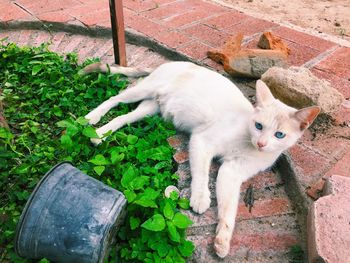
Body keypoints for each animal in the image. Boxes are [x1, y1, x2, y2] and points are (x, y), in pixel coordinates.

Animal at [82, 62, 320, 260]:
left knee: (123, 117)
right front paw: (200, 198)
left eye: (279, 135)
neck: (247, 143)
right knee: (115, 99)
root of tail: (171, 63)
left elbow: (229, 208)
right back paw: (91, 118)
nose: (261, 143)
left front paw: (223, 240)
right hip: (145, 90)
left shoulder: (232, 172)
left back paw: (100, 134)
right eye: (258, 125)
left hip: (150, 108)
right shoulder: (202, 140)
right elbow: (201, 173)